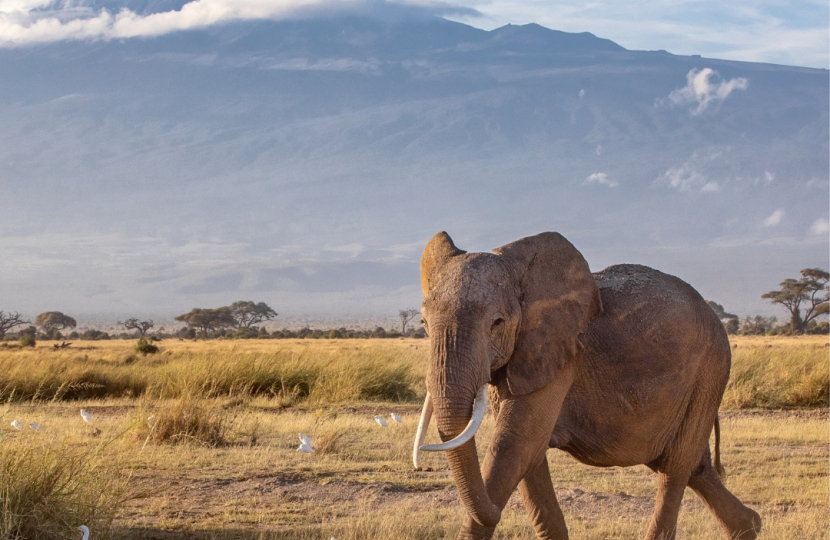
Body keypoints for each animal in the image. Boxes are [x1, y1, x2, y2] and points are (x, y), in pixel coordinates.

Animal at [412, 231, 764, 540]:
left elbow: (514, 446)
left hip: (711, 368)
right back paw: (750, 526)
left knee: (675, 468)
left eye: (496, 323)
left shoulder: (560, 353)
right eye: (424, 324)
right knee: (694, 466)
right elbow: (530, 455)